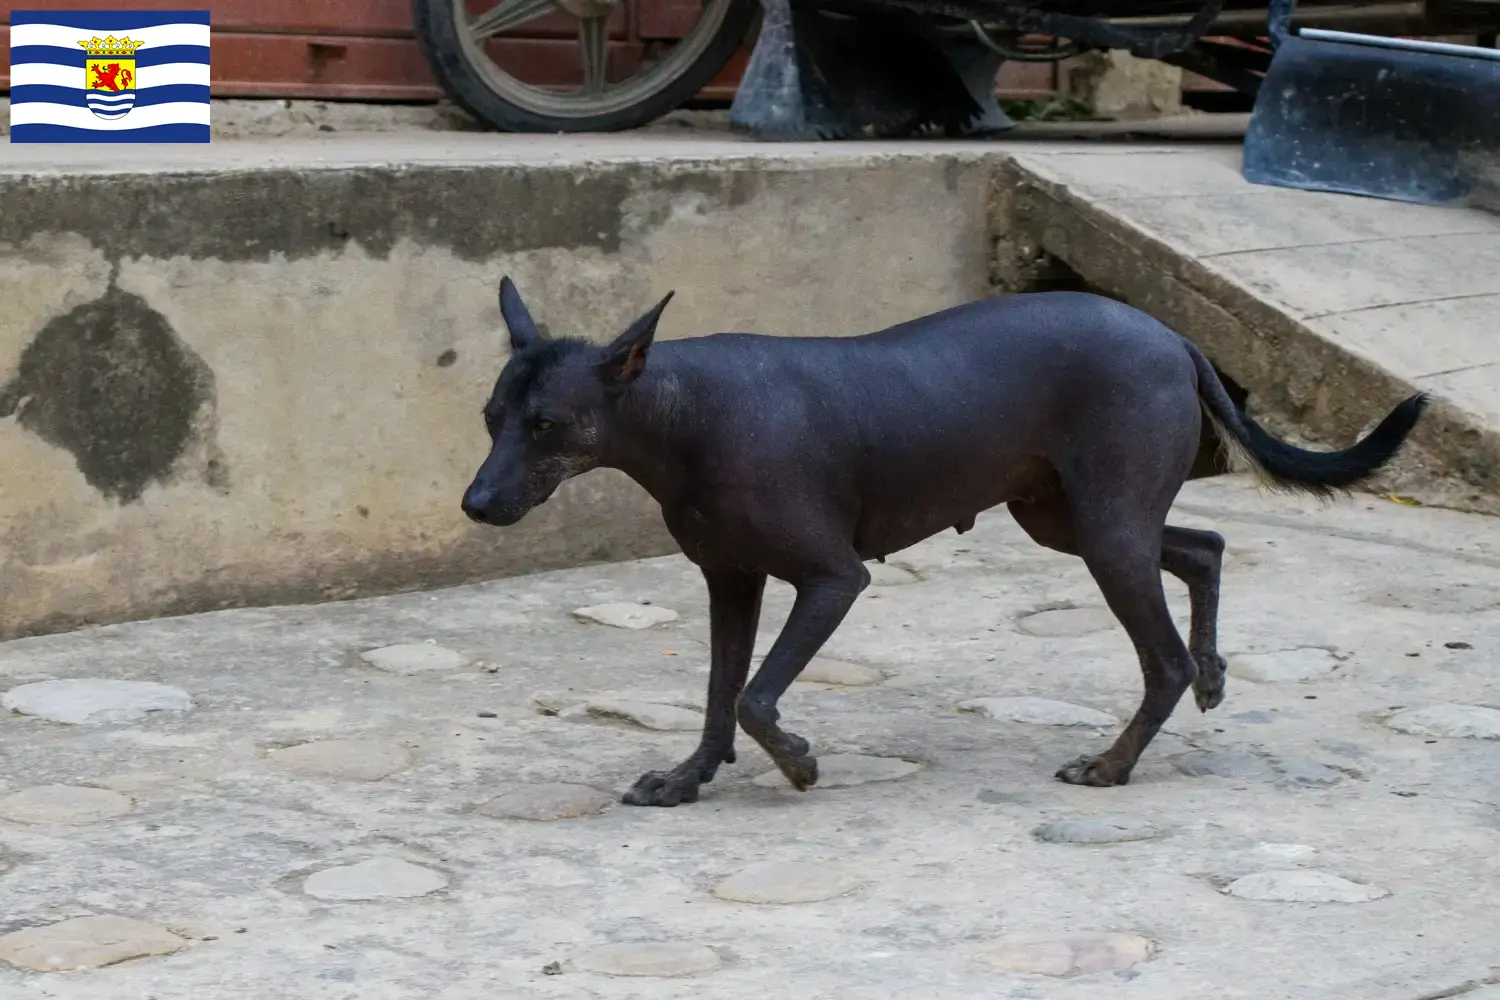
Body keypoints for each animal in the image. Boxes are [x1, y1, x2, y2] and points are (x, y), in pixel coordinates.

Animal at [462, 277, 1422, 809]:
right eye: (489, 418)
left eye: (547, 426)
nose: (474, 504)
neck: (681, 409)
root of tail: (1171, 333)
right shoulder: (730, 583)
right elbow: (717, 696)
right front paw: (689, 778)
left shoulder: (832, 580)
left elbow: (756, 701)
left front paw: (799, 764)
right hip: (1070, 521)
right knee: (1206, 546)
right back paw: (1216, 671)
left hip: (1106, 533)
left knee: (1164, 661)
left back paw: (1115, 763)